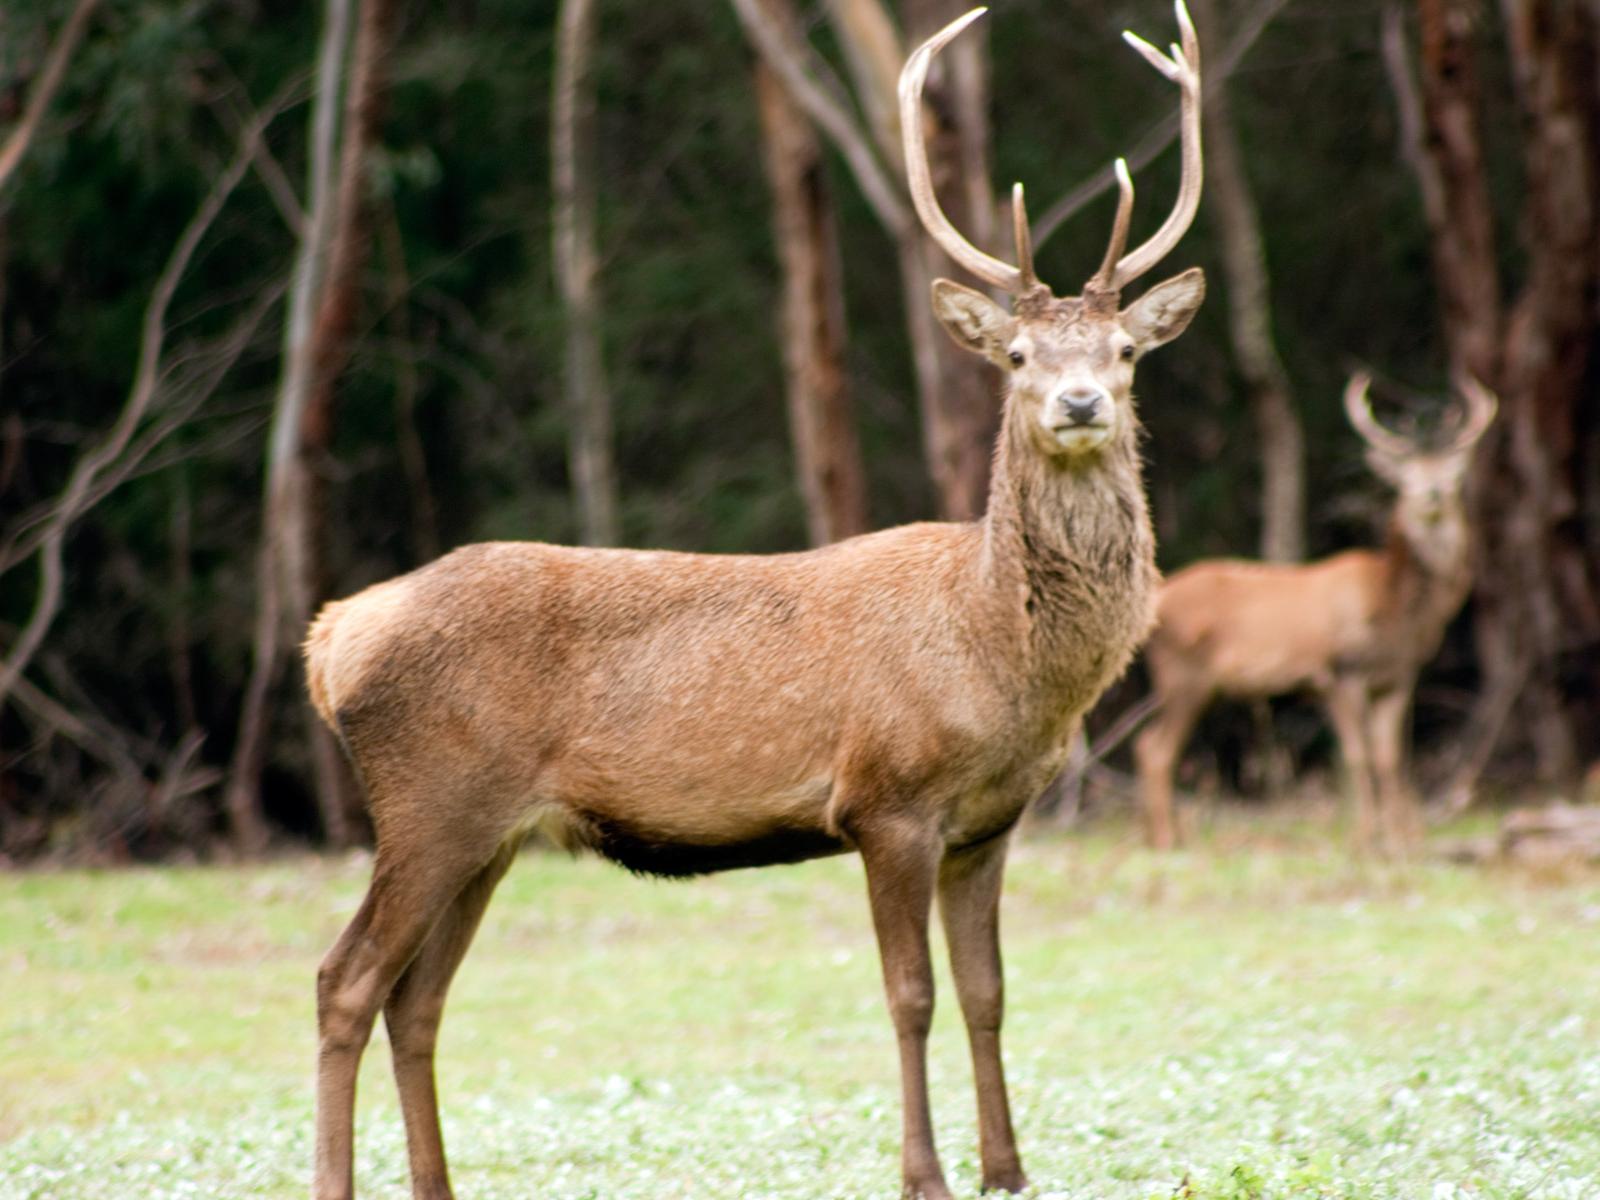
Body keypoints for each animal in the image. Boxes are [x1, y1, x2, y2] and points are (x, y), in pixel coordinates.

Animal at [302, 6, 1204, 1198]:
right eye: (1016, 354)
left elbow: (990, 993)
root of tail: (330, 639)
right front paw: (924, 1174)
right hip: (427, 800)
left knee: (418, 1000)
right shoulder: (887, 799)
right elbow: (909, 996)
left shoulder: (990, 821)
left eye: (1126, 349)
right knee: (345, 981)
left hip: (484, 830)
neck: (1001, 658)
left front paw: (1007, 1169)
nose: (1079, 401)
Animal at [1134, 371, 1497, 855]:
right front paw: (1365, 835)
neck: (1395, 608)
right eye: (1404, 479)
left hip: (1196, 683)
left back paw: (1167, 835)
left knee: (1150, 746)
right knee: (1154, 750)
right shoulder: (1340, 671)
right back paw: (1165, 840)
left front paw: (1405, 835)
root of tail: (1154, 600)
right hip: (1182, 673)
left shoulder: (1398, 677)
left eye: (1454, 473)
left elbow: (1391, 756)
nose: (1432, 495)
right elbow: (1358, 756)